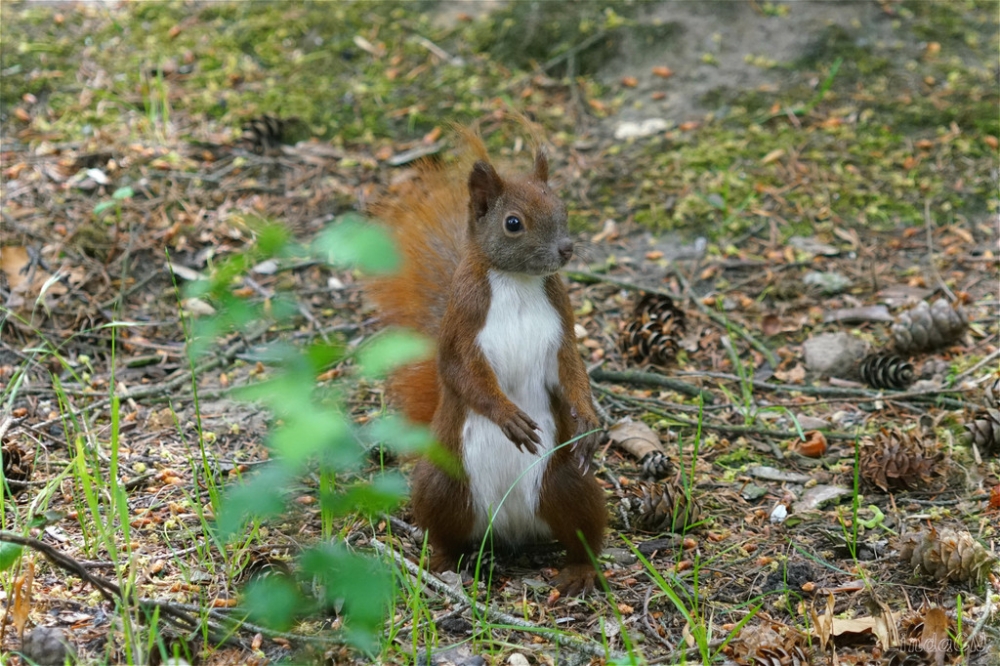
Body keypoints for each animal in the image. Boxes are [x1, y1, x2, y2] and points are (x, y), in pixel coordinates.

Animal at [370, 127, 608, 592]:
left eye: (563, 207)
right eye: (513, 223)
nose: (567, 249)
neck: (517, 282)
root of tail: (511, 528)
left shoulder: (562, 329)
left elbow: (572, 371)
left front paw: (588, 419)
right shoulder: (462, 326)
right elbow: (462, 375)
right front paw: (507, 417)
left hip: (569, 482)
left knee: (581, 531)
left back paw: (582, 570)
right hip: (443, 484)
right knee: (442, 532)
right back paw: (441, 564)